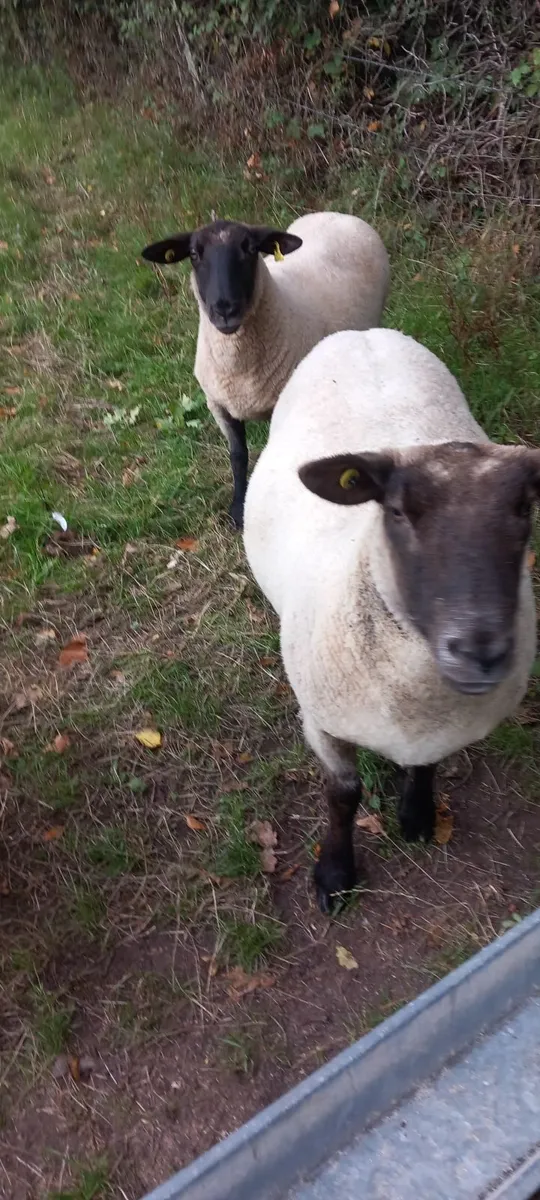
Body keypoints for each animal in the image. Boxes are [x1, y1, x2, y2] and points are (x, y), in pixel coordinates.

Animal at [141, 213, 389, 529]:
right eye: (195, 254)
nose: (224, 309)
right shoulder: (218, 404)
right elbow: (238, 455)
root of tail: (337, 215)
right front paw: (238, 509)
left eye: (249, 249)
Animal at [243, 328, 538, 914]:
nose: (480, 652)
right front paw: (335, 873)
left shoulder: (435, 731)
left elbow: (427, 764)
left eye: (525, 509)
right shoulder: (322, 721)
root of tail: (361, 332)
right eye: (397, 511)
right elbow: (343, 795)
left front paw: (418, 815)